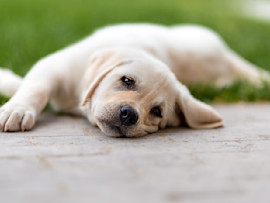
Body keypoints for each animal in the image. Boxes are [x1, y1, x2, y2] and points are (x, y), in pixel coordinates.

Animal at [0, 23, 266, 137]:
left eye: (157, 111)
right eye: (126, 81)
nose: (129, 114)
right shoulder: (53, 66)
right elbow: (34, 87)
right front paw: (17, 109)